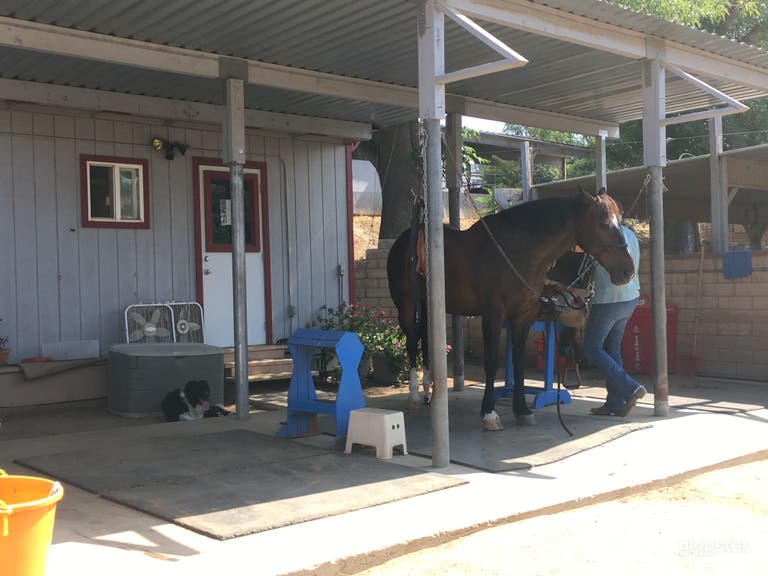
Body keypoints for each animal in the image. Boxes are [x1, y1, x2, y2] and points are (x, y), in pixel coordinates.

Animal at [386, 187, 634, 430]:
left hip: (427, 302)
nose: (628, 271)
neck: (516, 252)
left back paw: (428, 392)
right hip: (406, 305)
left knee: (424, 338)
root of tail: (403, 240)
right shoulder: (493, 316)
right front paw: (489, 414)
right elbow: (491, 364)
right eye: (603, 223)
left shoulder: (523, 317)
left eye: (620, 220)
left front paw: (522, 410)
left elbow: (519, 363)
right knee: (411, 341)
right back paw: (414, 396)